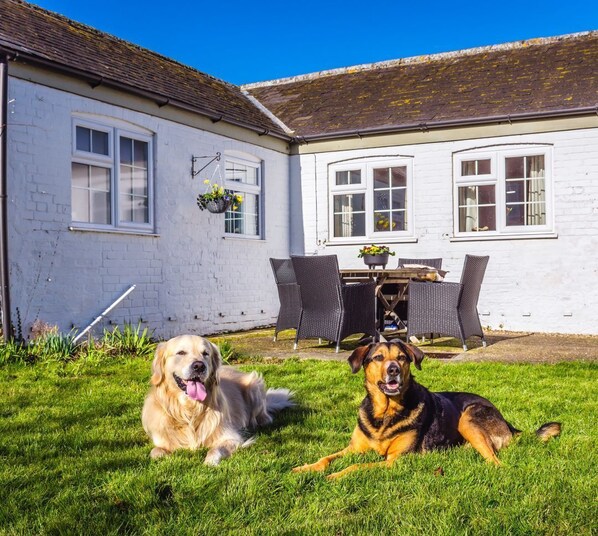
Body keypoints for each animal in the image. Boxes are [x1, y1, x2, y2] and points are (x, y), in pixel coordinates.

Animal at [296, 342, 564, 480]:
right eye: (378, 357)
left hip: (469, 416)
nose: (393, 370)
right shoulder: (353, 449)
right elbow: (326, 458)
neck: (385, 413)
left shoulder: (395, 460)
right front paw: (305, 468)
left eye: (402, 358)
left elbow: (356, 467)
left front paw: (334, 476)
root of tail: (508, 424)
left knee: (495, 460)